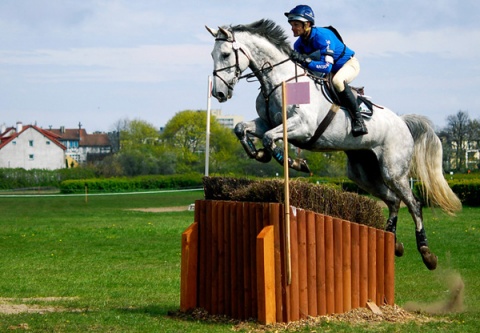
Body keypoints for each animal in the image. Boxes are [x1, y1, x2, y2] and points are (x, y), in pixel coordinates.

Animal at [206, 18, 462, 270]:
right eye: (212, 54)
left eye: (226, 54)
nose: (218, 94)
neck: (279, 80)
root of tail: (402, 122)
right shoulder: (265, 122)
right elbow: (242, 129)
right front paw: (259, 155)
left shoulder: (302, 127)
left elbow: (270, 138)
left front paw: (295, 163)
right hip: (363, 173)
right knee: (393, 199)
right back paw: (393, 241)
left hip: (393, 171)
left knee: (414, 204)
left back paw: (426, 252)